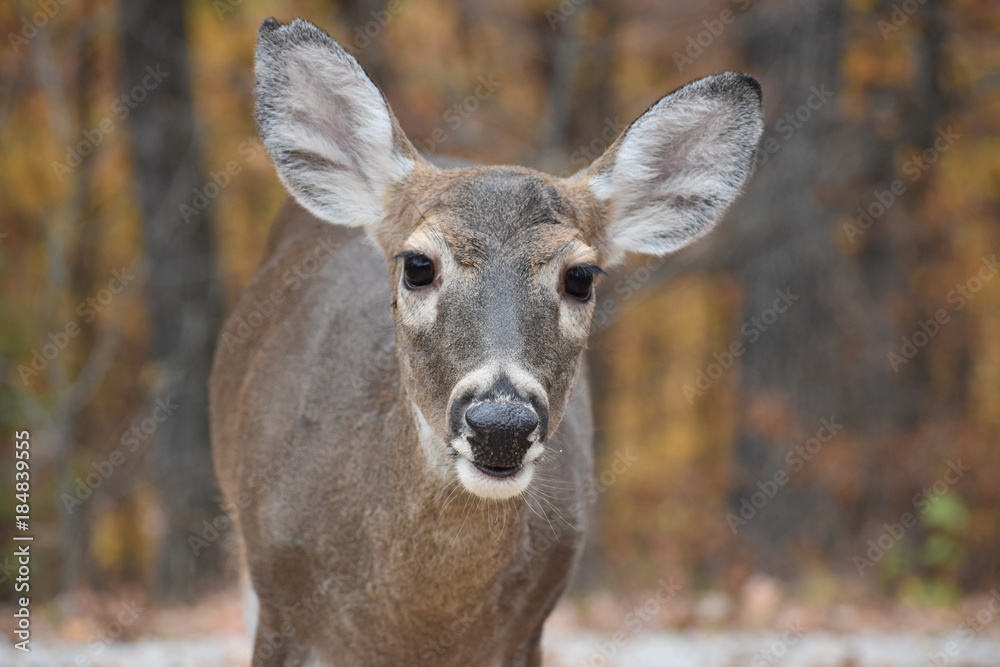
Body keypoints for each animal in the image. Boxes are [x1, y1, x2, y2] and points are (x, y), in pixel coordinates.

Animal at [210, 17, 763, 666]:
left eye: (581, 276)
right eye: (418, 264)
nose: (501, 424)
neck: (413, 626)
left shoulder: (529, 626)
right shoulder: (278, 597)